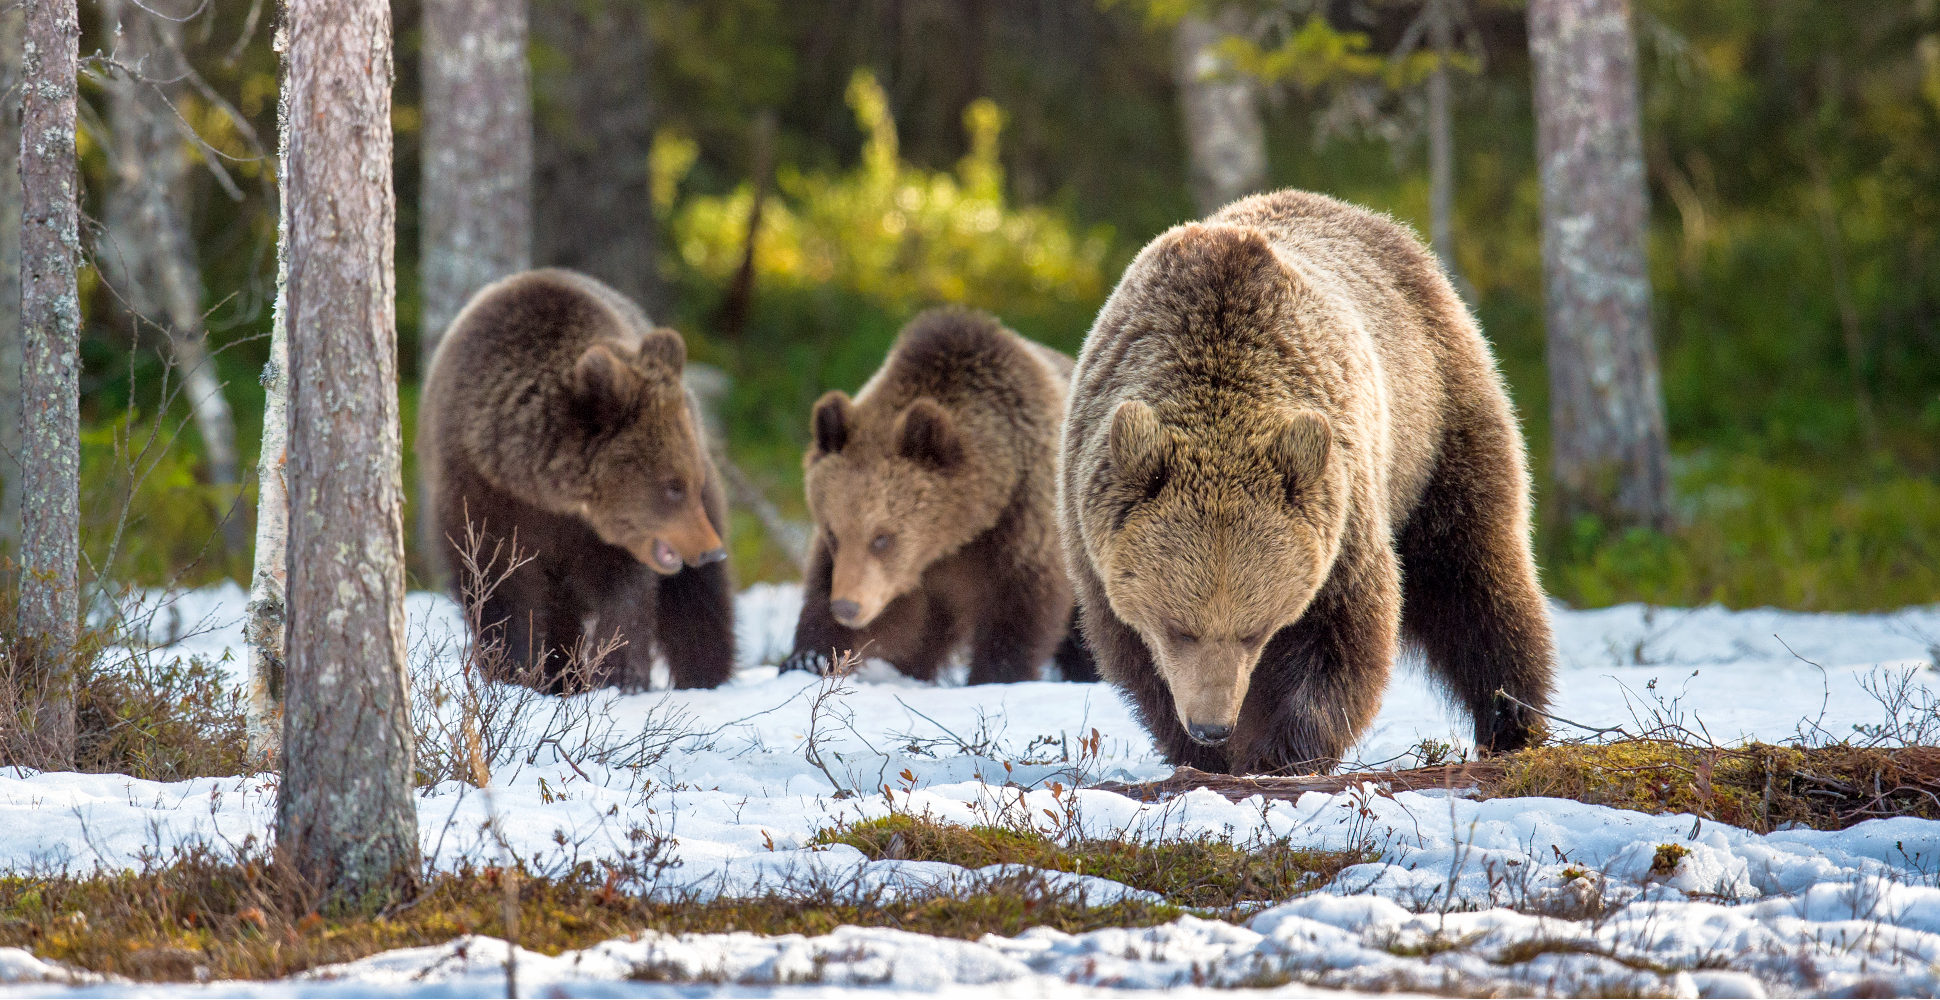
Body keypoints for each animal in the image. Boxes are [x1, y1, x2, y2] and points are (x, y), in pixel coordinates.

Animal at [419, 268, 735, 691]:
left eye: (689, 482)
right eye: (673, 487)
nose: (711, 550)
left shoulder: (607, 536)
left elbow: (626, 591)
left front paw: (619, 673)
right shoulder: (478, 494)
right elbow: (496, 585)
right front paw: (511, 671)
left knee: (697, 600)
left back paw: (705, 676)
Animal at [784, 307, 1097, 685]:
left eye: (882, 538)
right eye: (833, 533)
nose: (847, 607)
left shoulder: (1025, 521)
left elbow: (1019, 611)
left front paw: (996, 675)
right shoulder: (912, 580)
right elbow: (832, 591)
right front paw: (808, 658)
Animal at [1058, 189, 1556, 775]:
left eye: (1252, 629)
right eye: (1178, 625)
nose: (1211, 726)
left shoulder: (1341, 519)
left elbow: (1340, 639)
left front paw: (1282, 752)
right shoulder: (1097, 542)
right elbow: (1137, 659)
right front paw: (1204, 754)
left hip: (1435, 423)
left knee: (1475, 574)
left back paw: (1513, 720)